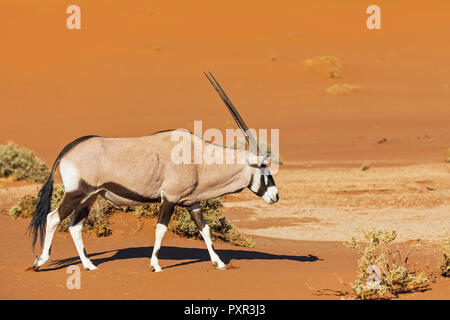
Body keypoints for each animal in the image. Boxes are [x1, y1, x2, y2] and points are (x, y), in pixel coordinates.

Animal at [29, 73, 278, 272]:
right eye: (264, 167)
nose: (275, 195)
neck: (198, 159)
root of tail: (67, 150)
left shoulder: (192, 203)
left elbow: (205, 230)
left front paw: (219, 263)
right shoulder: (169, 199)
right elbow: (160, 230)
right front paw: (155, 265)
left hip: (90, 197)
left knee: (74, 225)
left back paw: (89, 265)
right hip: (77, 193)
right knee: (53, 217)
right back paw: (40, 261)